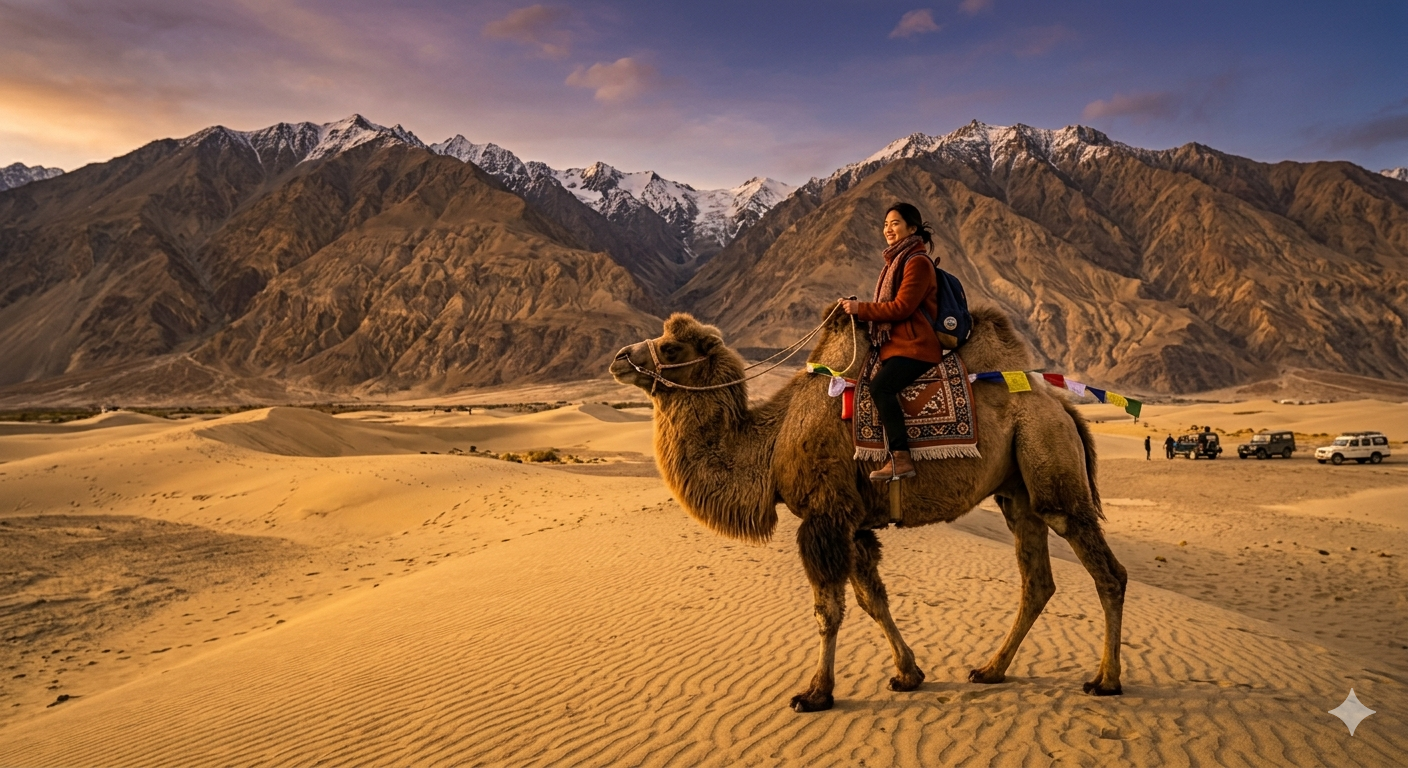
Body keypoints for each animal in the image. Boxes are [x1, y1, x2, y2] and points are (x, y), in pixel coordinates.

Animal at [609, 302, 1127, 712]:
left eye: (671, 348)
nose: (619, 358)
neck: (772, 442)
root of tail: (1063, 408)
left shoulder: (824, 516)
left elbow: (828, 610)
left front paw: (816, 693)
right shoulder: (852, 522)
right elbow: (871, 599)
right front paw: (908, 674)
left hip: (1052, 470)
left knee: (1108, 571)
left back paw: (1106, 680)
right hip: (1016, 492)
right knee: (1036, 580)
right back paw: (990, 669)